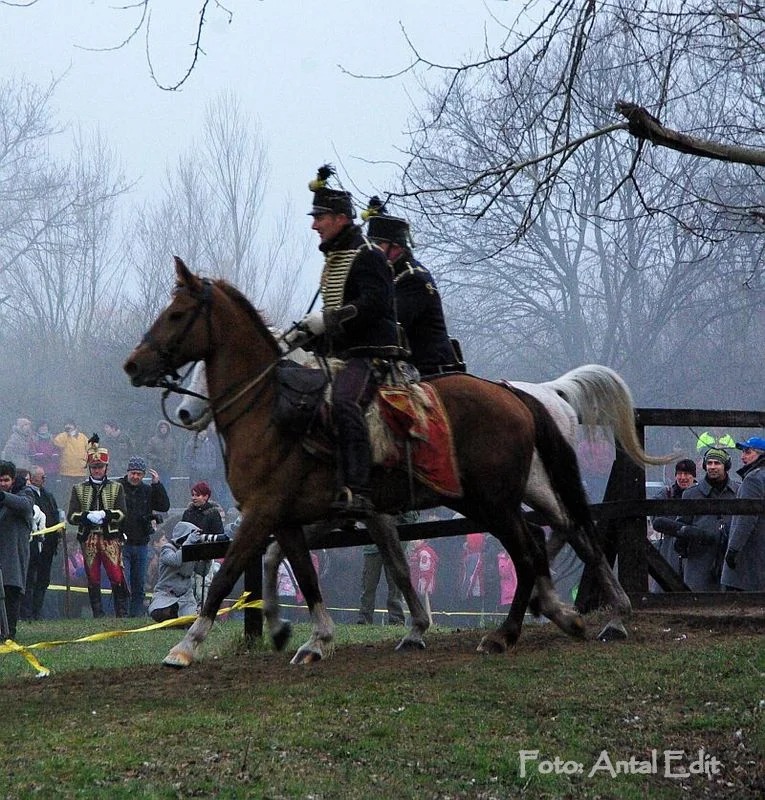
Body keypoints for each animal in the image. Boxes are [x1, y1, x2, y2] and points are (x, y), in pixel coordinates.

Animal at [124, 257, 593, 666]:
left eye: (177, 314)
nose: (133, 365)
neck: (271, 410)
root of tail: (512, 395)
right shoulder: (298, 517)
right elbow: (306, 570)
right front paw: (305, 635)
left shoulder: (263, 512)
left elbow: (226, 576)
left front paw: (186, 647)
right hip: (482, 501)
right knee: (539, 542)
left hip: (493, 501)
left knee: (529, 551)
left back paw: (511, 631)